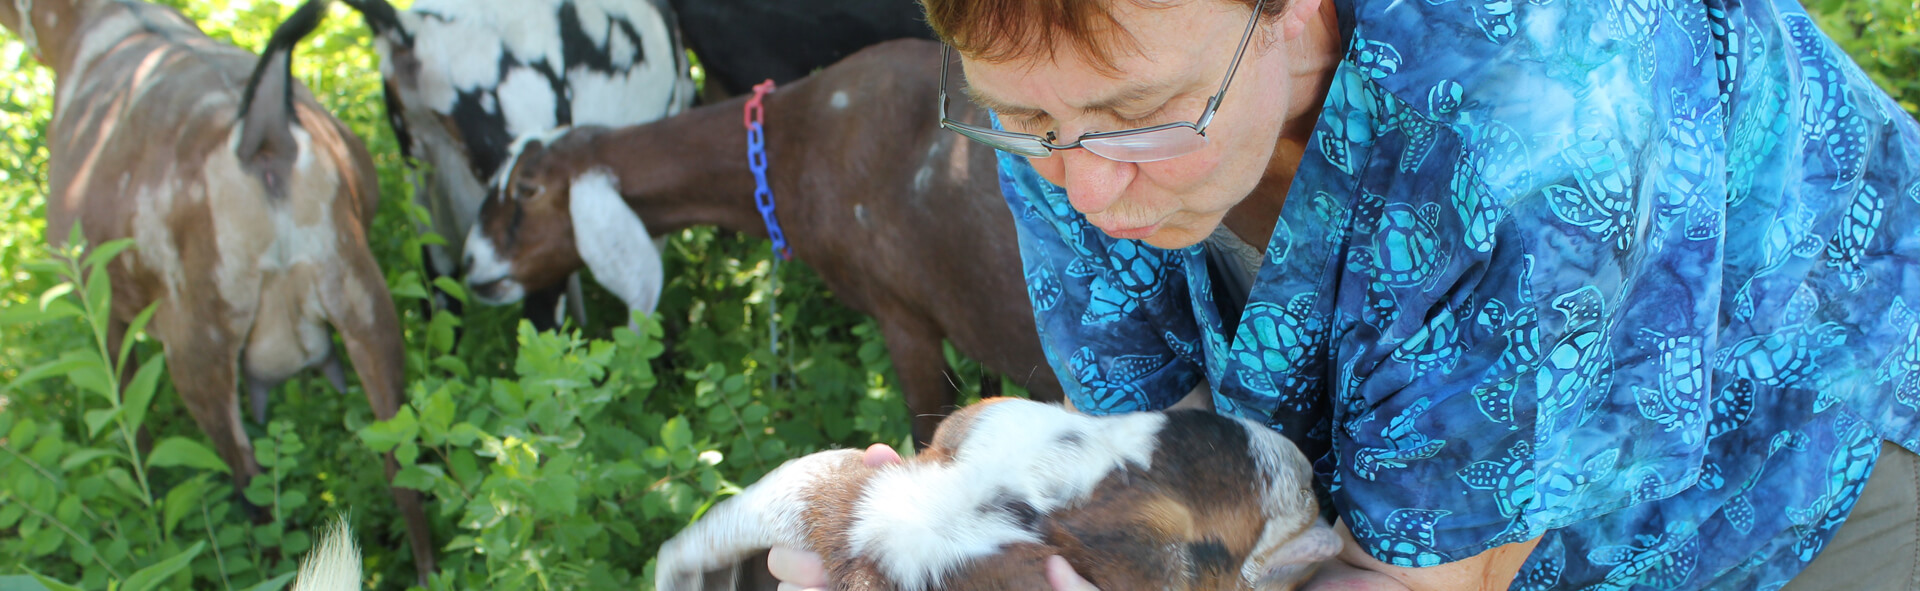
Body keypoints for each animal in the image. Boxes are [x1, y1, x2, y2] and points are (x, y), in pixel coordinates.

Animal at [1, 0, 437, 583]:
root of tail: (261, 135)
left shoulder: (103, 309)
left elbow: (130, 423)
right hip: (363, 302)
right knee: (400, 466)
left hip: (200, 349)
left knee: (253, 491)